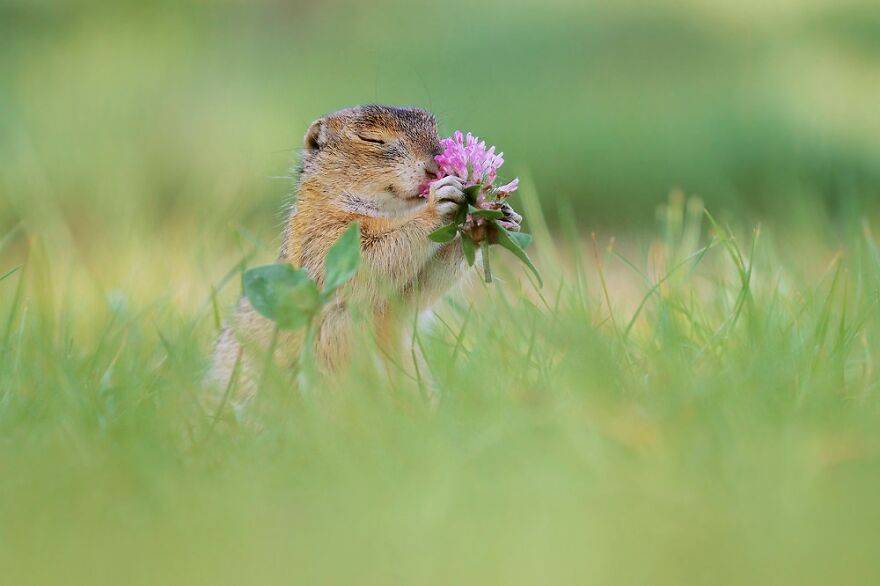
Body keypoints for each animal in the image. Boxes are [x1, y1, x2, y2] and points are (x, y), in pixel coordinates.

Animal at [210, 105, 520, 396]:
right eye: (371, 139)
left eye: (434, 129)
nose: (436, 167)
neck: (390, 212)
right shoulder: (324, 238)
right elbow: (373, 259)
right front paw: (439, 202)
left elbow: (418, 289)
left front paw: (491, 221)